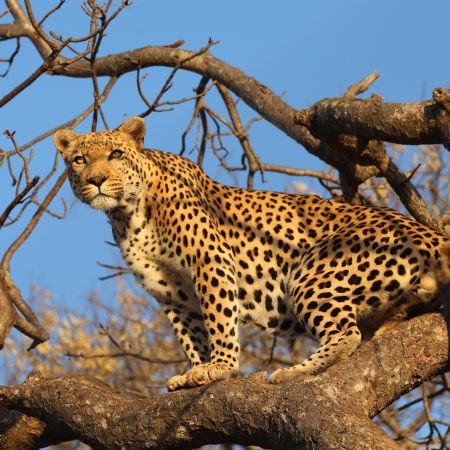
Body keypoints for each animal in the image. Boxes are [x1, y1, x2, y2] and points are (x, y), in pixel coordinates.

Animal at [54, 117, 448, 390]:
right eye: (79, 160)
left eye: (116, 154)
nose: (95, 180)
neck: (127, 214)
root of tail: (430, 234)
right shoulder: (169, 290)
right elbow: (190, 333)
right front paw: (196, 370)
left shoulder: (209, 260)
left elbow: (218, 318)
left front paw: (221, 366)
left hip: (312, 274)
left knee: (344, 335)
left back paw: (290, 373)